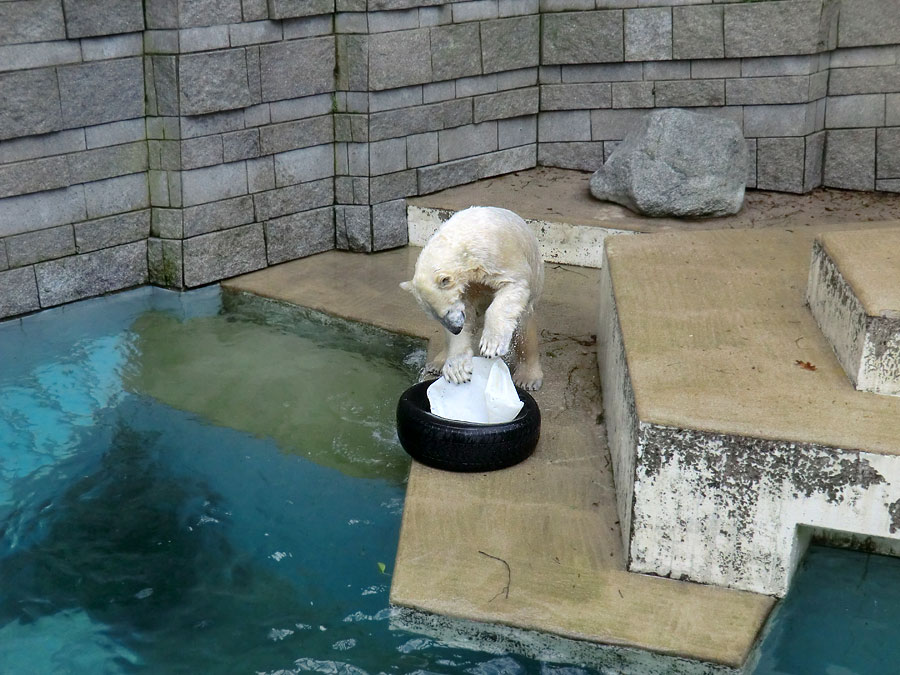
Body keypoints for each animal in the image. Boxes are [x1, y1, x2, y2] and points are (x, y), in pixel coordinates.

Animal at [404, 209, 544, 394]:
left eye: (446, 311)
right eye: (436, 317)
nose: (456, 329)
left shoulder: (498, 255)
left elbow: (513, 284)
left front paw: (491, 345)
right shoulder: (468, 287)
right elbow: (467, 316)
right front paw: (457, 368)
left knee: (523, 328)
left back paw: (528, 378)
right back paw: (437, 363)